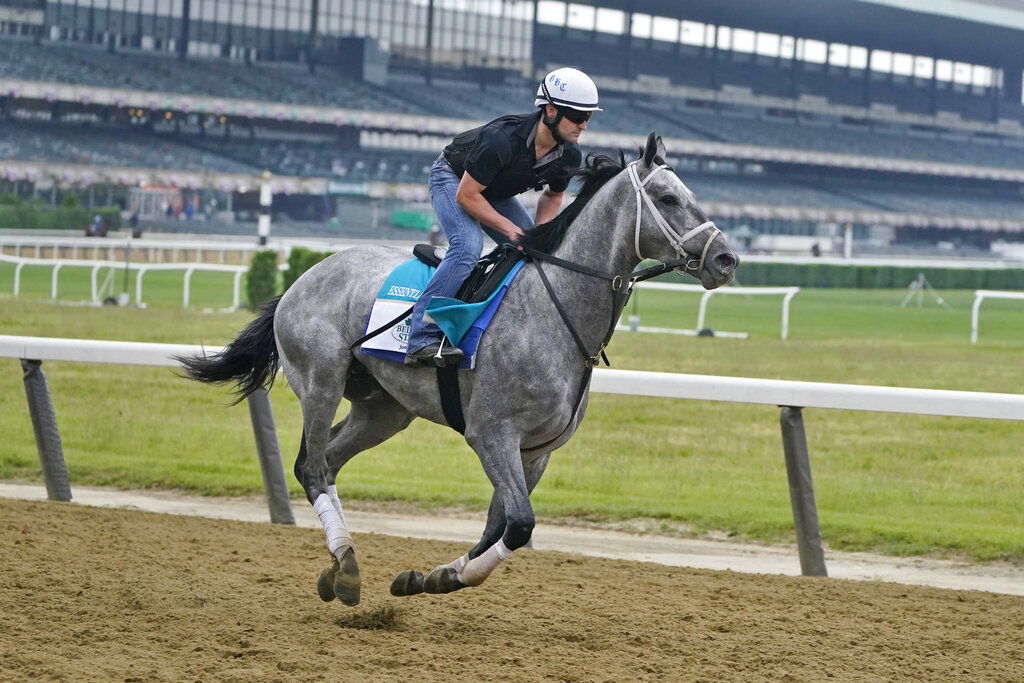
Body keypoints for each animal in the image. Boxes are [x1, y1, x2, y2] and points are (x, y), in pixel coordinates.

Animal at [176, 131, 737, 606]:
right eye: (667, 198)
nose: (726, 260)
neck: (553, 311)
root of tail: (303, 278)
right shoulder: (492, 434)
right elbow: (520, 525)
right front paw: (439, 576)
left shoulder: (537, 450)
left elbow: (499, 527)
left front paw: (430, 577)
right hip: (321, 380)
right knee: (311, 466)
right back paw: (347, 566)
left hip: (383, 410)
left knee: (328, 463)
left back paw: (338, 567)